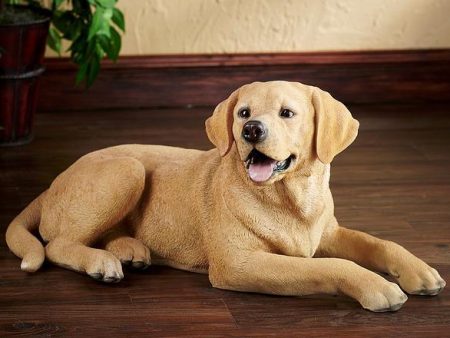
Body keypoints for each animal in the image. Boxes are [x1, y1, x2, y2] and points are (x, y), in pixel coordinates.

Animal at [5, 81, 444, 312]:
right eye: (243, 113)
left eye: (287, 113)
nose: (251, 131)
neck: (290, 199)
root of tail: (52, 183)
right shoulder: (239, 264)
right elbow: (330, 266)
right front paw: (377, 286)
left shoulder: (329, 232)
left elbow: (380, 242)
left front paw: (419, 271)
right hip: (126, 169)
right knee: (59, 244)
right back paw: (101, 262)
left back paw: (130, 250)